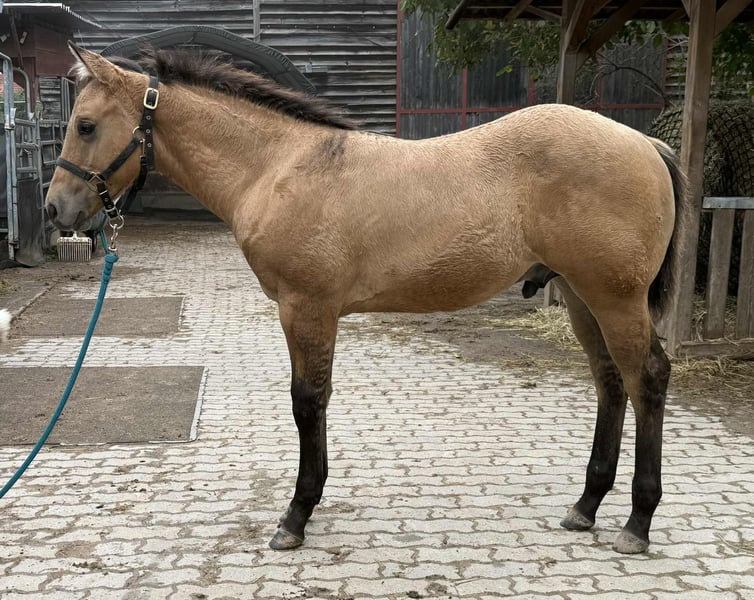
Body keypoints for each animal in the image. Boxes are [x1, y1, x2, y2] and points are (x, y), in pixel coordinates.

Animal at [46, 44, 684, 555]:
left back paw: (637, 522)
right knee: (610, 382)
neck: (278, 167)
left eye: (85, 125)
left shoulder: (305, 307)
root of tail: (645, 141)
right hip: (580, 296)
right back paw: (586, 506)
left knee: (647, 378)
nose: (56, 211)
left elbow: (307, 402)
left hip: (614, 296)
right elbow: (318, 401)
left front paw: (296, 517)